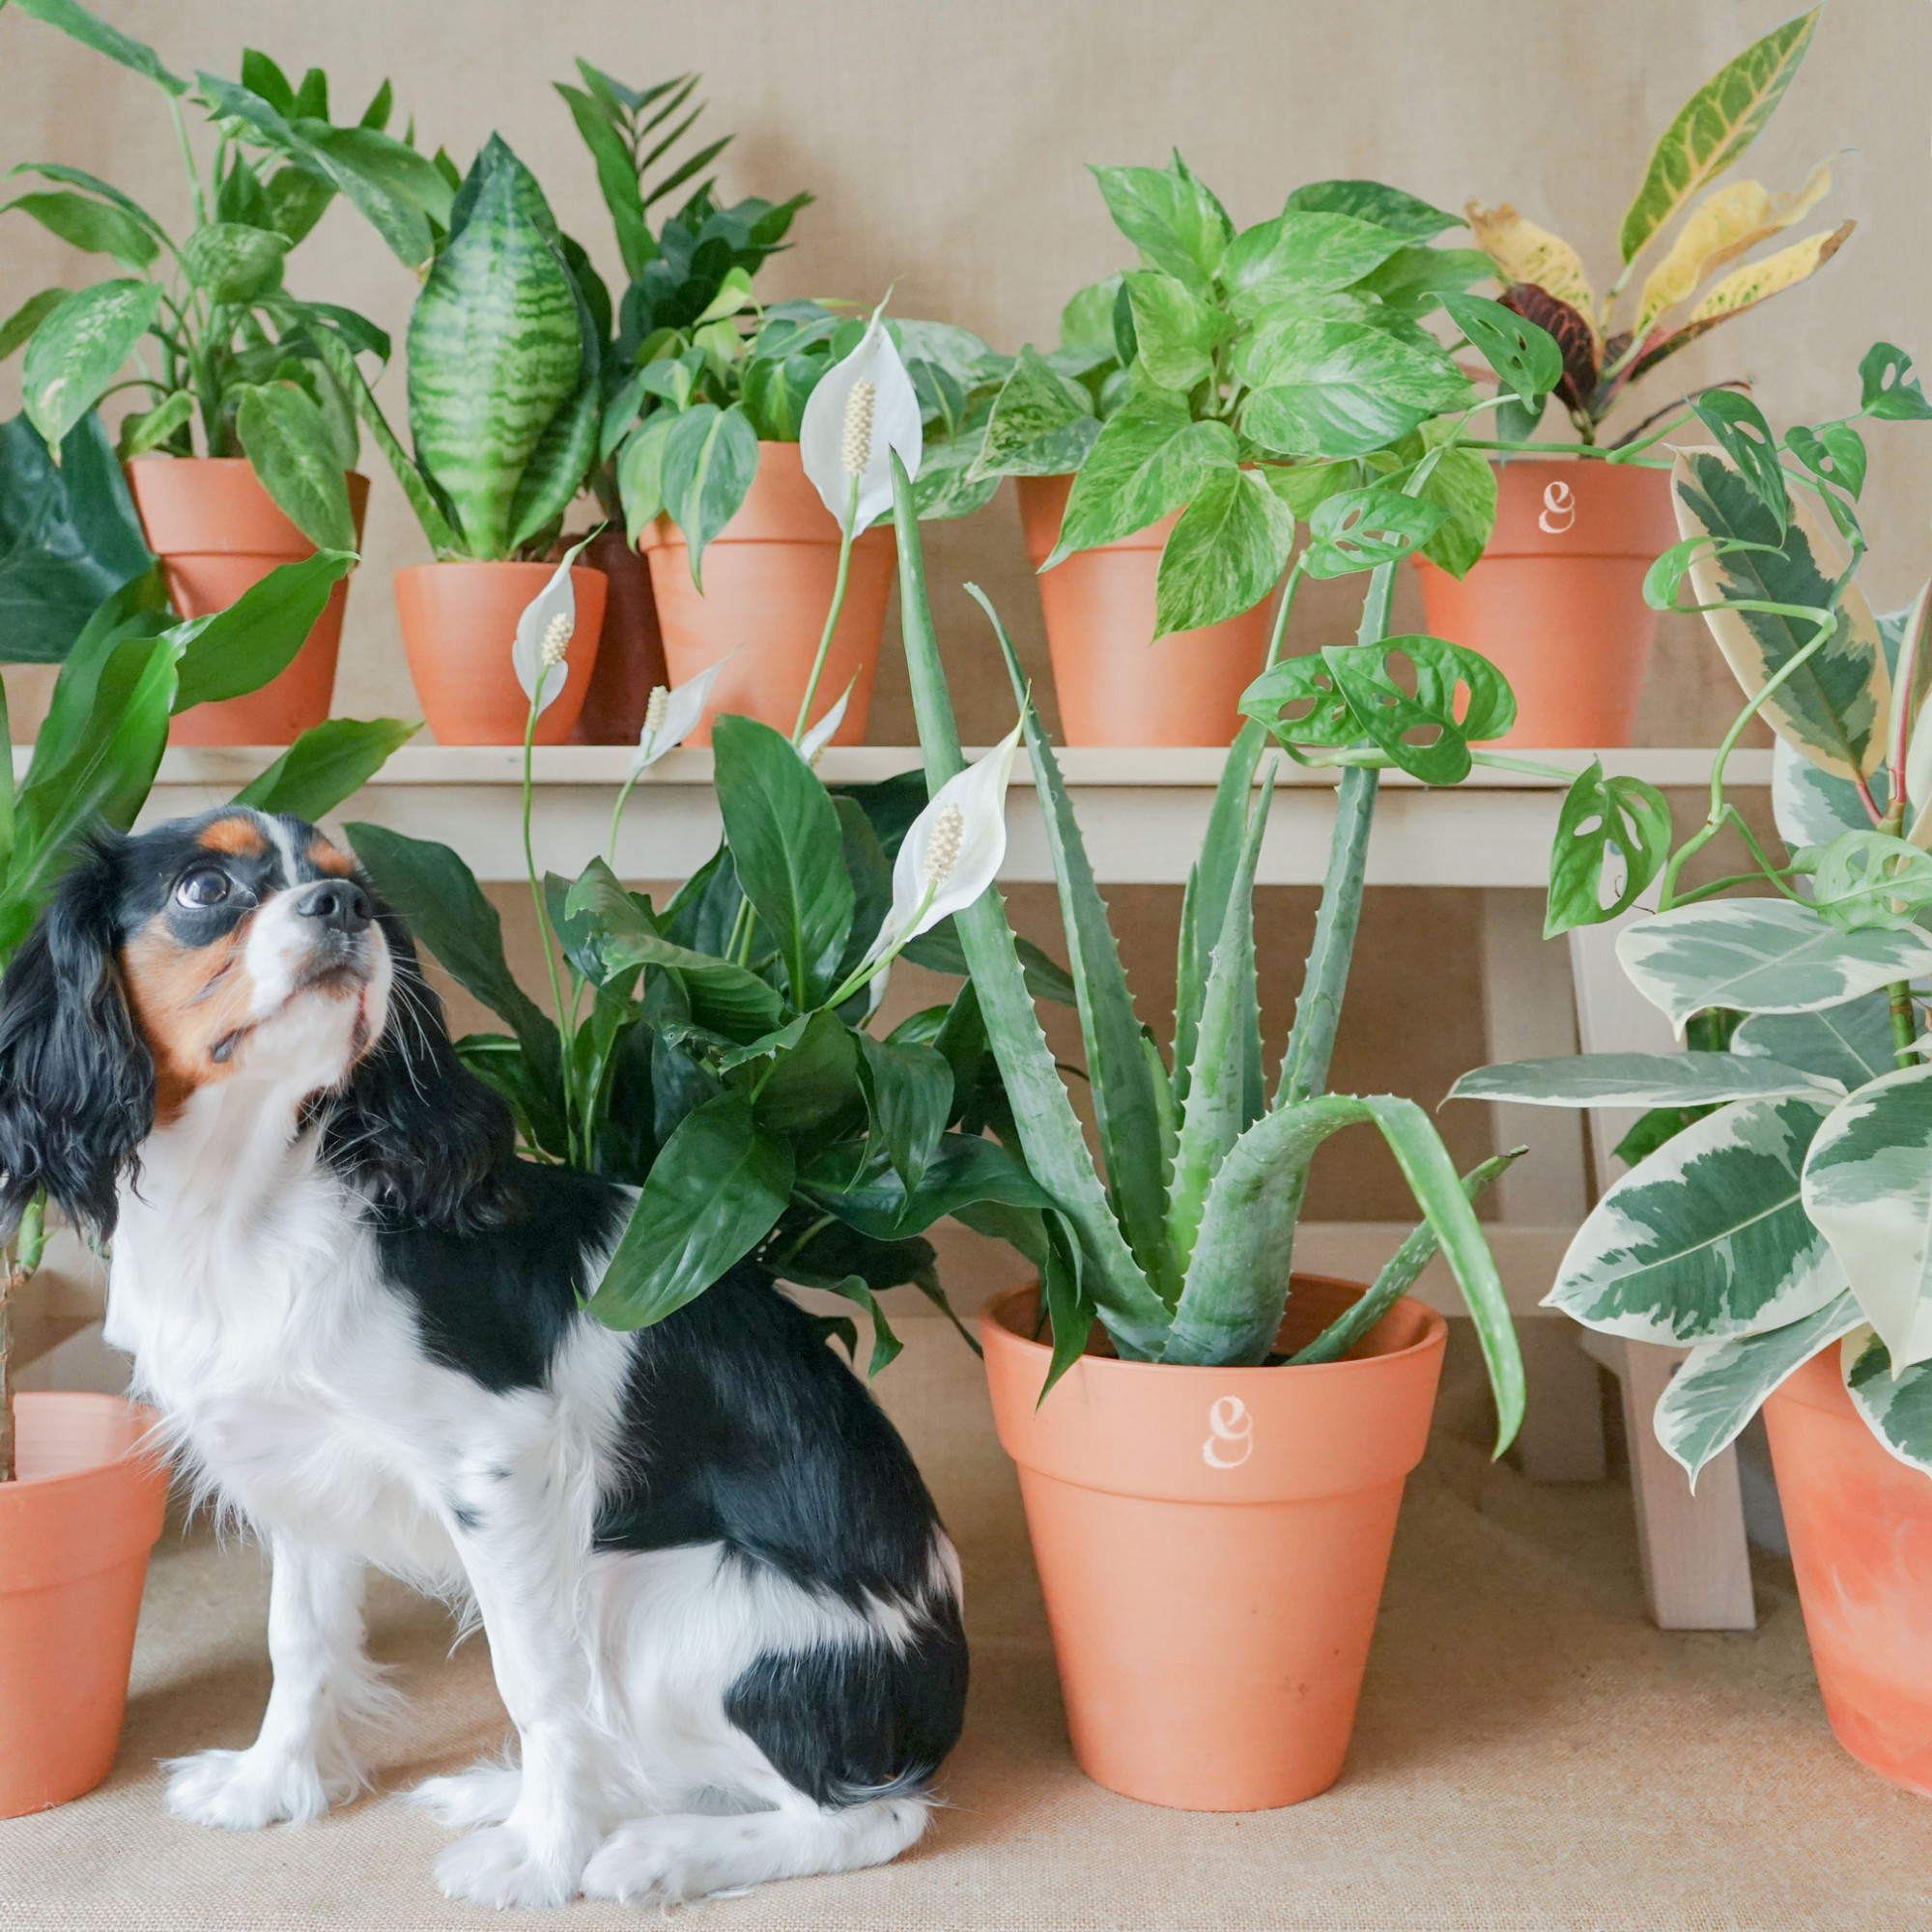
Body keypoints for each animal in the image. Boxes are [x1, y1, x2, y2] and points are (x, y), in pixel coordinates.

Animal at [0, 808, 966, 1909]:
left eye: (359, 889)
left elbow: (537, 1681)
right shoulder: (302, 1470)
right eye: (205, 886)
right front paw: (269, 1785)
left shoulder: (504, 1462)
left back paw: (651, 1849)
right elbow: (301, 1639)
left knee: (870, 1813)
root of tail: (940, 1700)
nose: (339, 907)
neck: (246, 1199)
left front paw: (544, 1859)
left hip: (645, 1603)